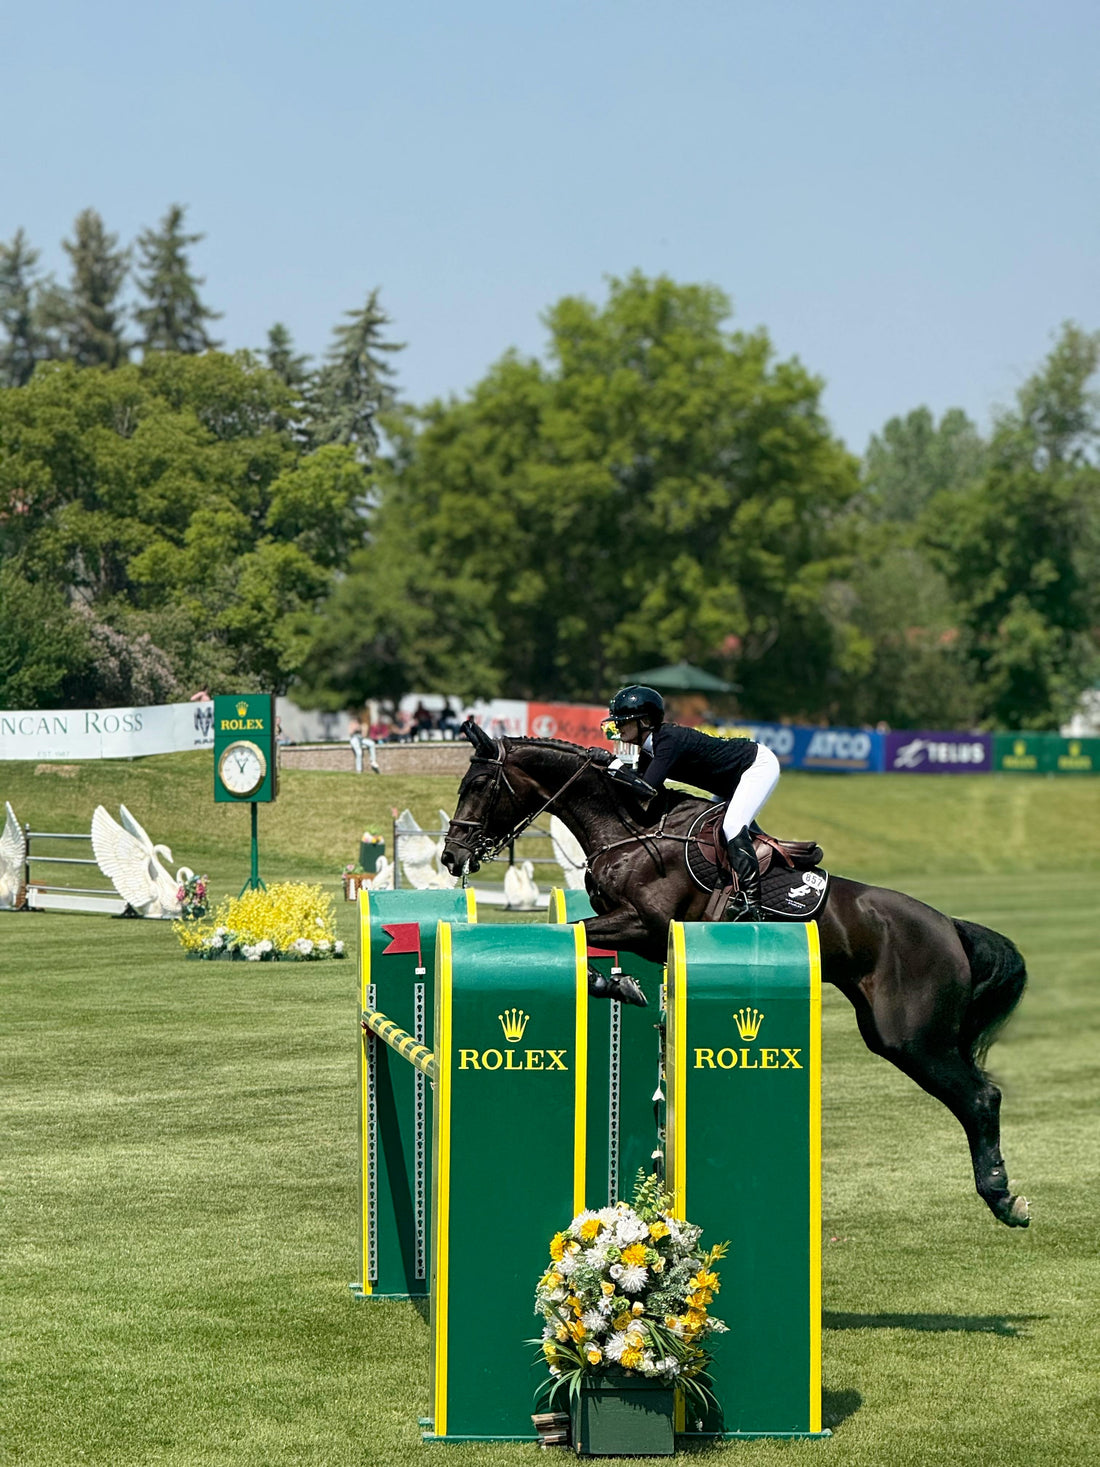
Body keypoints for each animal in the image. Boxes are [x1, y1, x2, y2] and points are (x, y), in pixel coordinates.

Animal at [440, 726, 1030, 1229]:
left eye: (478, 785)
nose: (451, 856)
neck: (631, 831)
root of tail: (949, 926)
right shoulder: (635, 930)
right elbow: (578, 937)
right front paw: (619, 985)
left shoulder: (646, 925)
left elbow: (572, 931)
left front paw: (617, 985)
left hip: (911, 1038)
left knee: (981, 1098)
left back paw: (1004, 1198)